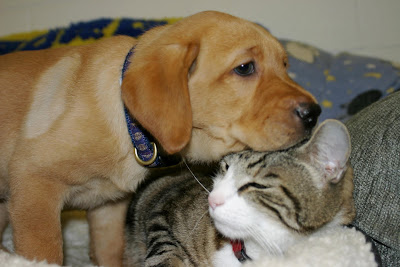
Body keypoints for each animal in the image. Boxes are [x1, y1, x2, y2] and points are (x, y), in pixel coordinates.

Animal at [0, 11, 320, 267]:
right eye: (245, 68)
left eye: (285, 65)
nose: (314, 113)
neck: (129, 126)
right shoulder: (35, 190)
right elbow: (46, 253)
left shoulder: (107, 208)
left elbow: (110, 253)